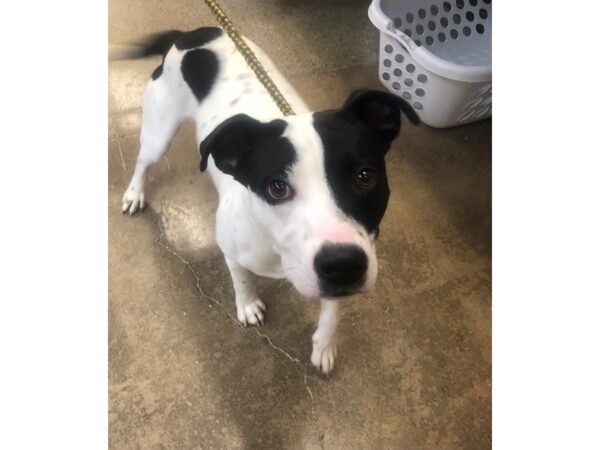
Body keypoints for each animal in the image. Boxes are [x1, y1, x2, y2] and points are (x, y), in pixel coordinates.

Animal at [123, 27, 418, 372]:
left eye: (364, 177)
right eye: (277, 188)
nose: (343, 265)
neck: (277, 250)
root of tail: (190, 33)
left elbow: (332, 309)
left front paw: (324, 344)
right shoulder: (232, 251)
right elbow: (241, 280)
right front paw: (248, 305)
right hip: (159, 132)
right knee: (143, 161)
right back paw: (134, 193)